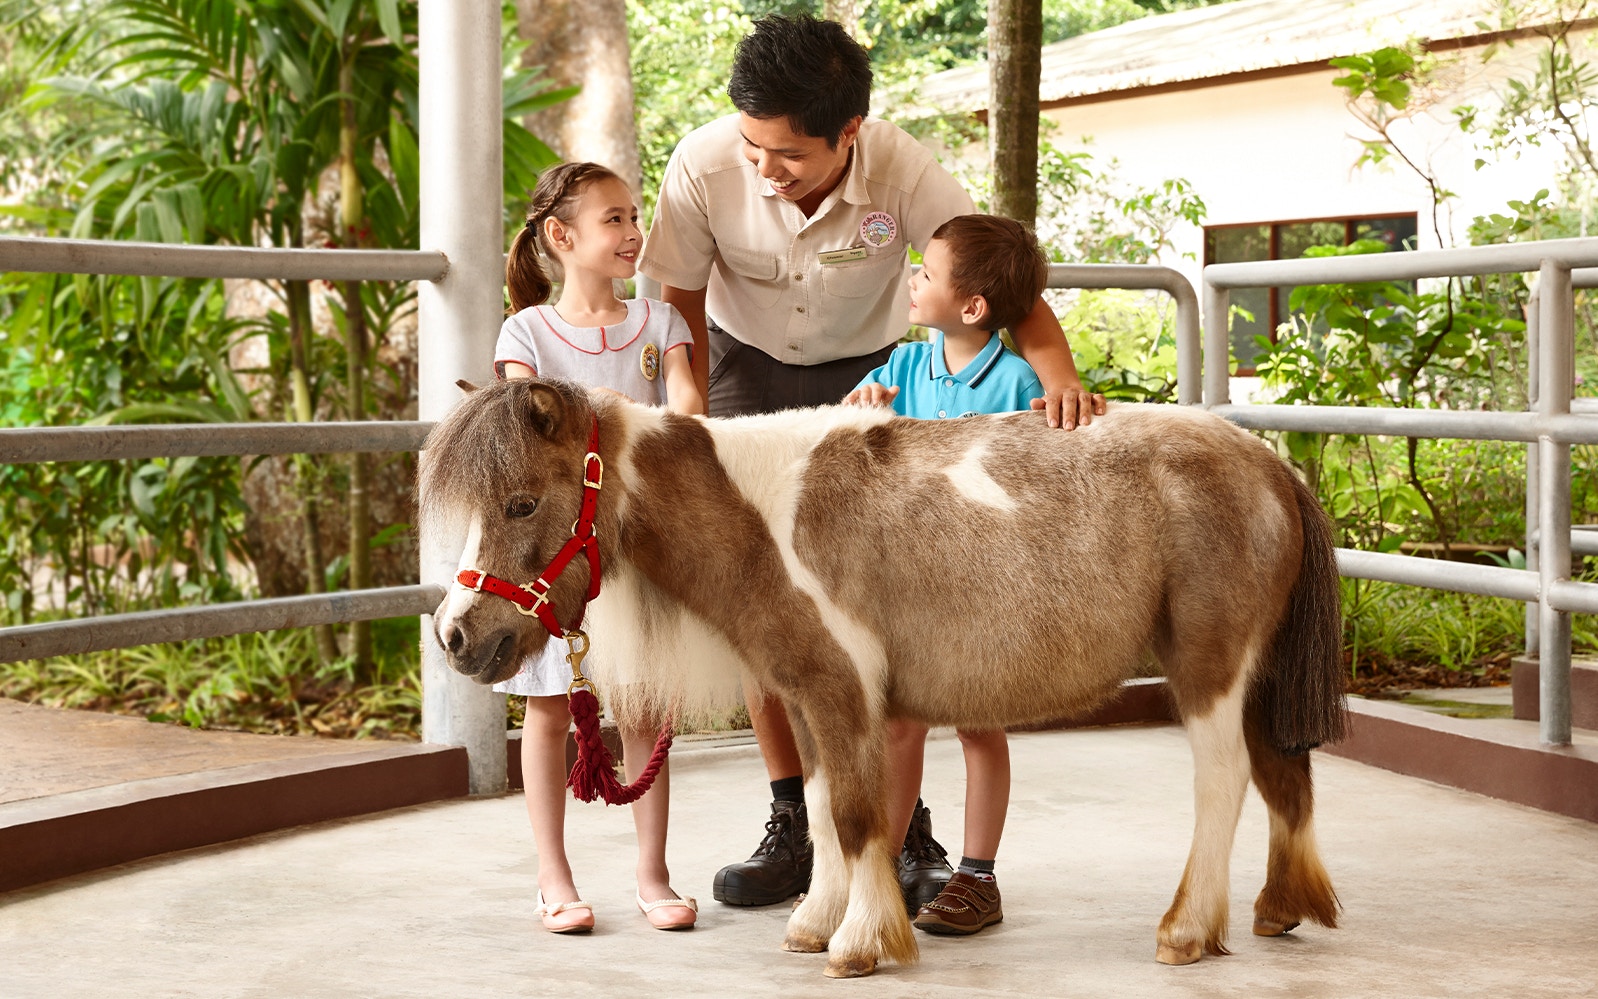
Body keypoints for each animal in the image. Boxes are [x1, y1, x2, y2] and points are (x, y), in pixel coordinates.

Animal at [421, 377, 1347, 979]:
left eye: (519, 502)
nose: (457, 636)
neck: (763, 515)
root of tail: (1270, 464)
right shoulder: (808, 693)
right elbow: (826, 805)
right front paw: (814, 922)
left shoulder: (841, 688)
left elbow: (859, 815)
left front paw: (859, 943)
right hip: (1255, 675)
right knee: (1284, 773)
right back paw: (1277, 908)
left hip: (1210, 668)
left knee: (1225, 781)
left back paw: (1188, 930)